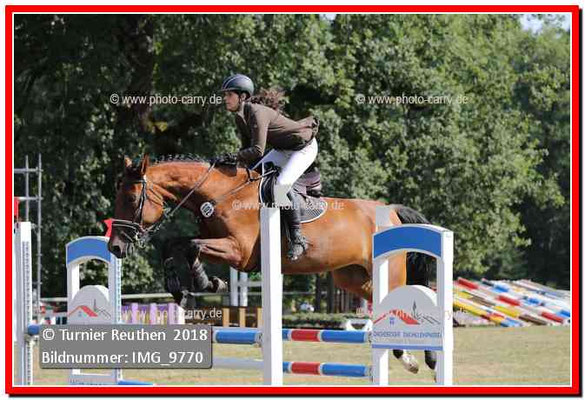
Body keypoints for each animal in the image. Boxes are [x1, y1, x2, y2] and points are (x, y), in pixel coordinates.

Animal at [108, 154, 437, 375]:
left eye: (131, 198)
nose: (115, 247)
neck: (219, 193)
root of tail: (389, 210)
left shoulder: (239, 252)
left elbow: (190, 247)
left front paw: (205, 282)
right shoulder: (219, 243)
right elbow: (173, 244)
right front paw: (185, 291)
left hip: (387, 272)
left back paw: (422, 359)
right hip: (353, 277)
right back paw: (411, 358)